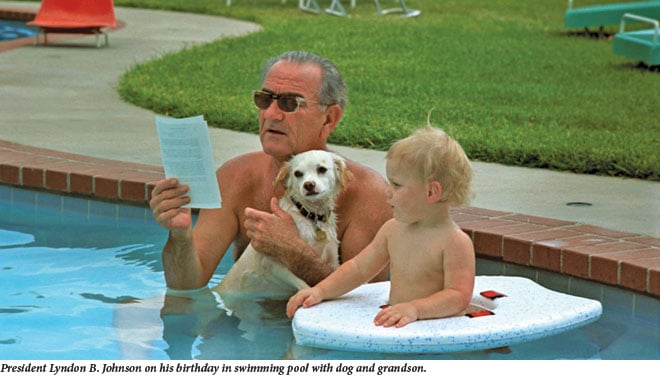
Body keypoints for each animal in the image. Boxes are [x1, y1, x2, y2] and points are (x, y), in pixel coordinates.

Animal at [215, 150, 350, 298]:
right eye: (298, 173)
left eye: (322, 169)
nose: (308, 185)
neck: (310, 215)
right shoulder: (273, 263)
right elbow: (302, 284)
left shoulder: (333, 261)